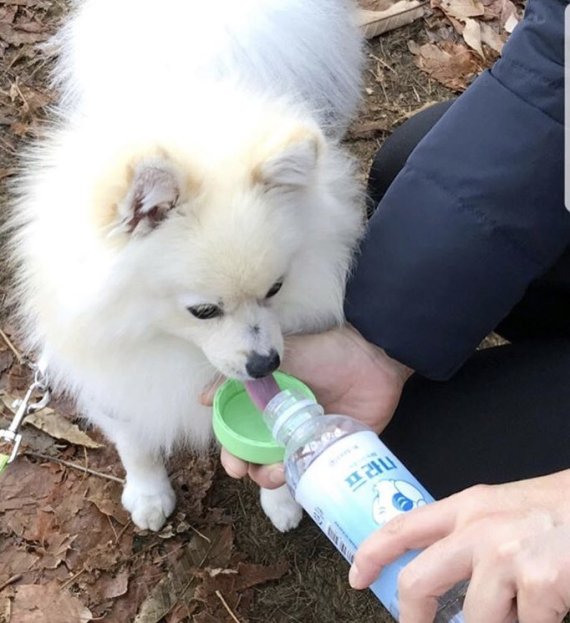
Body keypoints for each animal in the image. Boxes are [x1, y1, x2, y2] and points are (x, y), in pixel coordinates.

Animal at [8, 0, 362, 532]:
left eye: (275, 289)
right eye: (203, 311)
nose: (266, 362)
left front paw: (282, 497)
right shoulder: (114, 375)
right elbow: (135, 441)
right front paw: (149, 494)